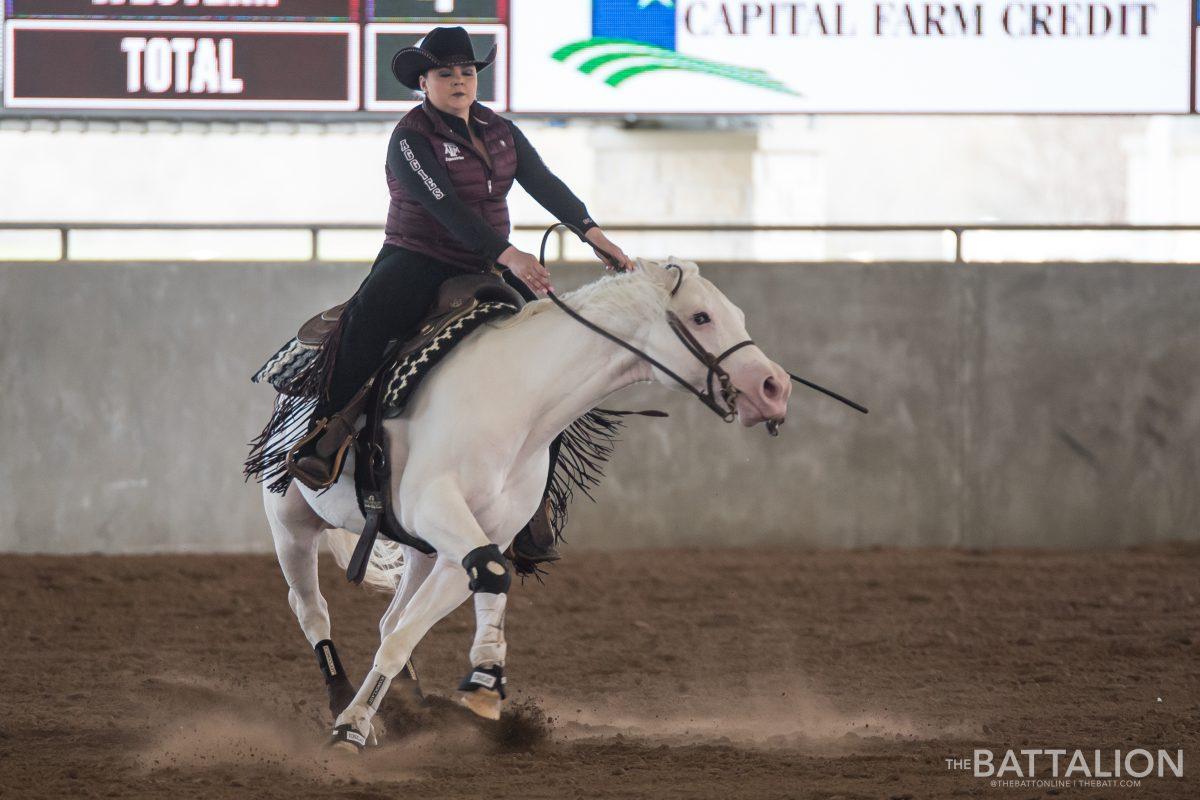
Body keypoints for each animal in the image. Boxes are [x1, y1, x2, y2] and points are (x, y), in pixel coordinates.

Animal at [260, 257, 787, 753]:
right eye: (701, 317)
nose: (774, 387)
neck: (516, 398)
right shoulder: (435, 507)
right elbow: (471, 587)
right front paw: (349, 726)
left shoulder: (470, 542)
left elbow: (432, 614)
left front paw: (484, 681)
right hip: (289, 523)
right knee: (310, 609)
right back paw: (340, 697)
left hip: (417, 549)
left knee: (390, 618)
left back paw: (409, 707)